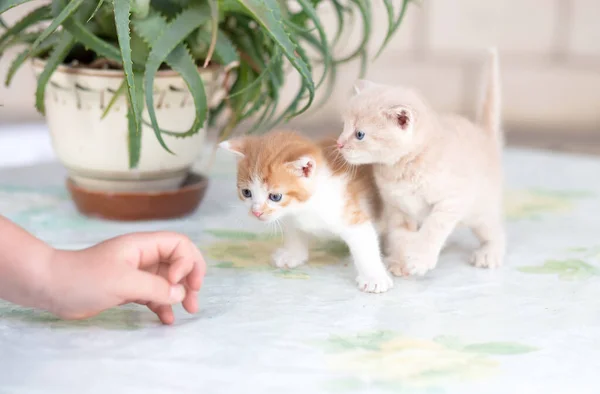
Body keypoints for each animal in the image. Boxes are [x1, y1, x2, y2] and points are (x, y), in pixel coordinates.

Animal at [219, 131, 394, 294]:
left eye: (275, 197)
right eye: (246, 192)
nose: (256, 212)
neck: (305, 206)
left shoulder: (351, 215)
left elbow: (365, 246)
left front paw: (374, 278)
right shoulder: (290, 217)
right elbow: (294, 233)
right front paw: (292, 254)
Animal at [338, 47, 502, 276]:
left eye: (359, 134)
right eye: (343, 127)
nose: (339, 144)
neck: (400, 170)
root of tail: (484, 134)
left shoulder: (453, 199)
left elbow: (434, 227)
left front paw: (420, 259)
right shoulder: (396, 207)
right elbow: (399, 236)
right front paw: (399, 261)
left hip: (480, 210)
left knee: (495, 230)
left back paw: (490, 252)